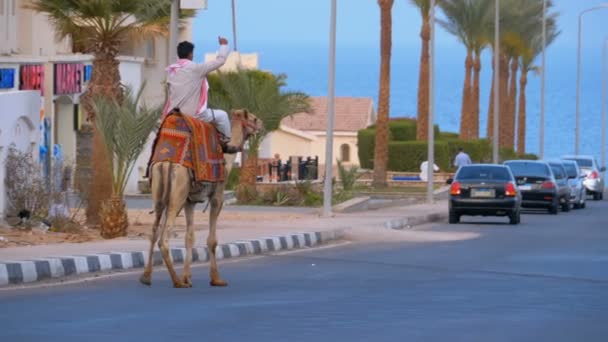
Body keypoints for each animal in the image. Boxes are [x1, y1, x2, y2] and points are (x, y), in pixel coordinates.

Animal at [140, 109, 264, 288]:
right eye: (253, 118)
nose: (262, 124)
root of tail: (166, 161)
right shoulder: (217, 196)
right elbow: (212, 240)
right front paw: (216, 278)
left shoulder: (189, 202)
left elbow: (189, 237)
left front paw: (187, 277)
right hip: (177, 193)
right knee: (163, 239)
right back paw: (177, 282)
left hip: (159, 191)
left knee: (153, 231)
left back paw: (146, 277)